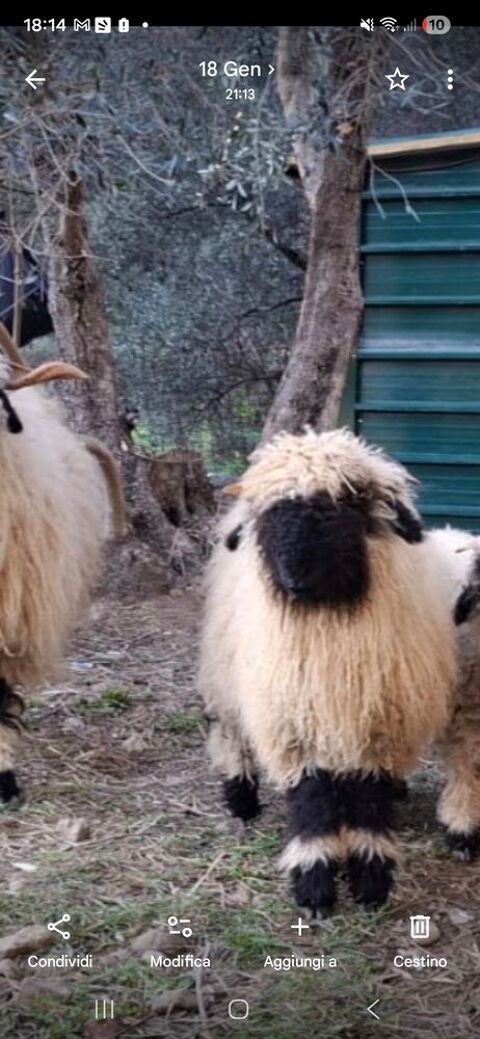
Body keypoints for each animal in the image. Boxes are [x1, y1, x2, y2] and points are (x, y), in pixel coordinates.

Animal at [198, 428, 458, 916]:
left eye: (343, 507)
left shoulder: (380, 723)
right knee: (230, 732)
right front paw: (314, 884)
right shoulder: (293, 724)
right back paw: (241, 799)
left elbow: (369, 800)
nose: (293, 578)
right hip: (226, 674)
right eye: (273, 515)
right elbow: (312, 799)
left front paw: (371, 878)